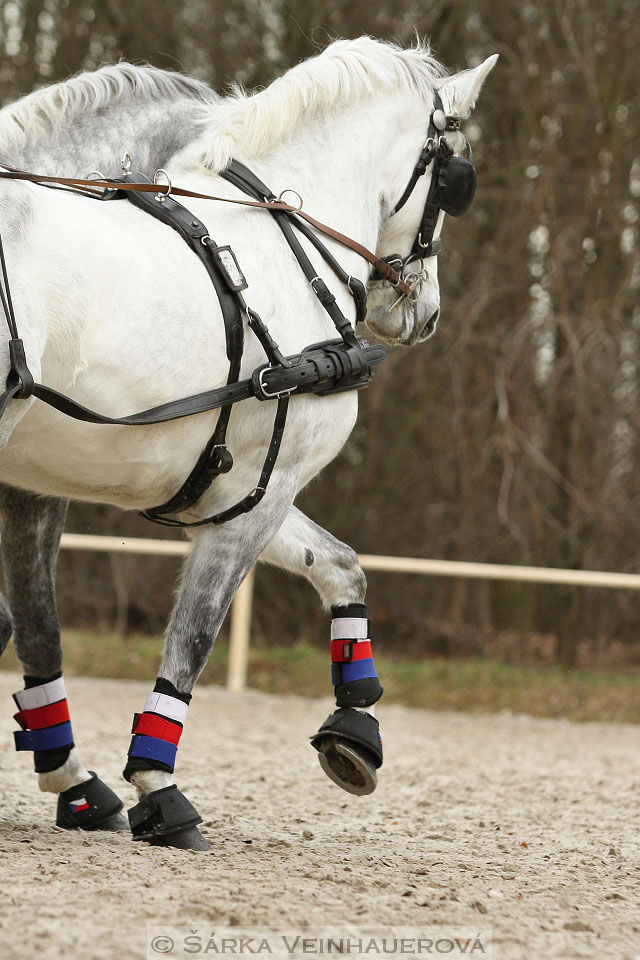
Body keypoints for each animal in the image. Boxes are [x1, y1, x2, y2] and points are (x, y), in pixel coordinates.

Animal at [0, 35, 496, 848]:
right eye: (456, 177)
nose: (423, 312)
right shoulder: (256, 497)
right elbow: (192, 639)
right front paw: (158, 790)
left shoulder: (222, 488)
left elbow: (341, 567)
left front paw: (355, 727)